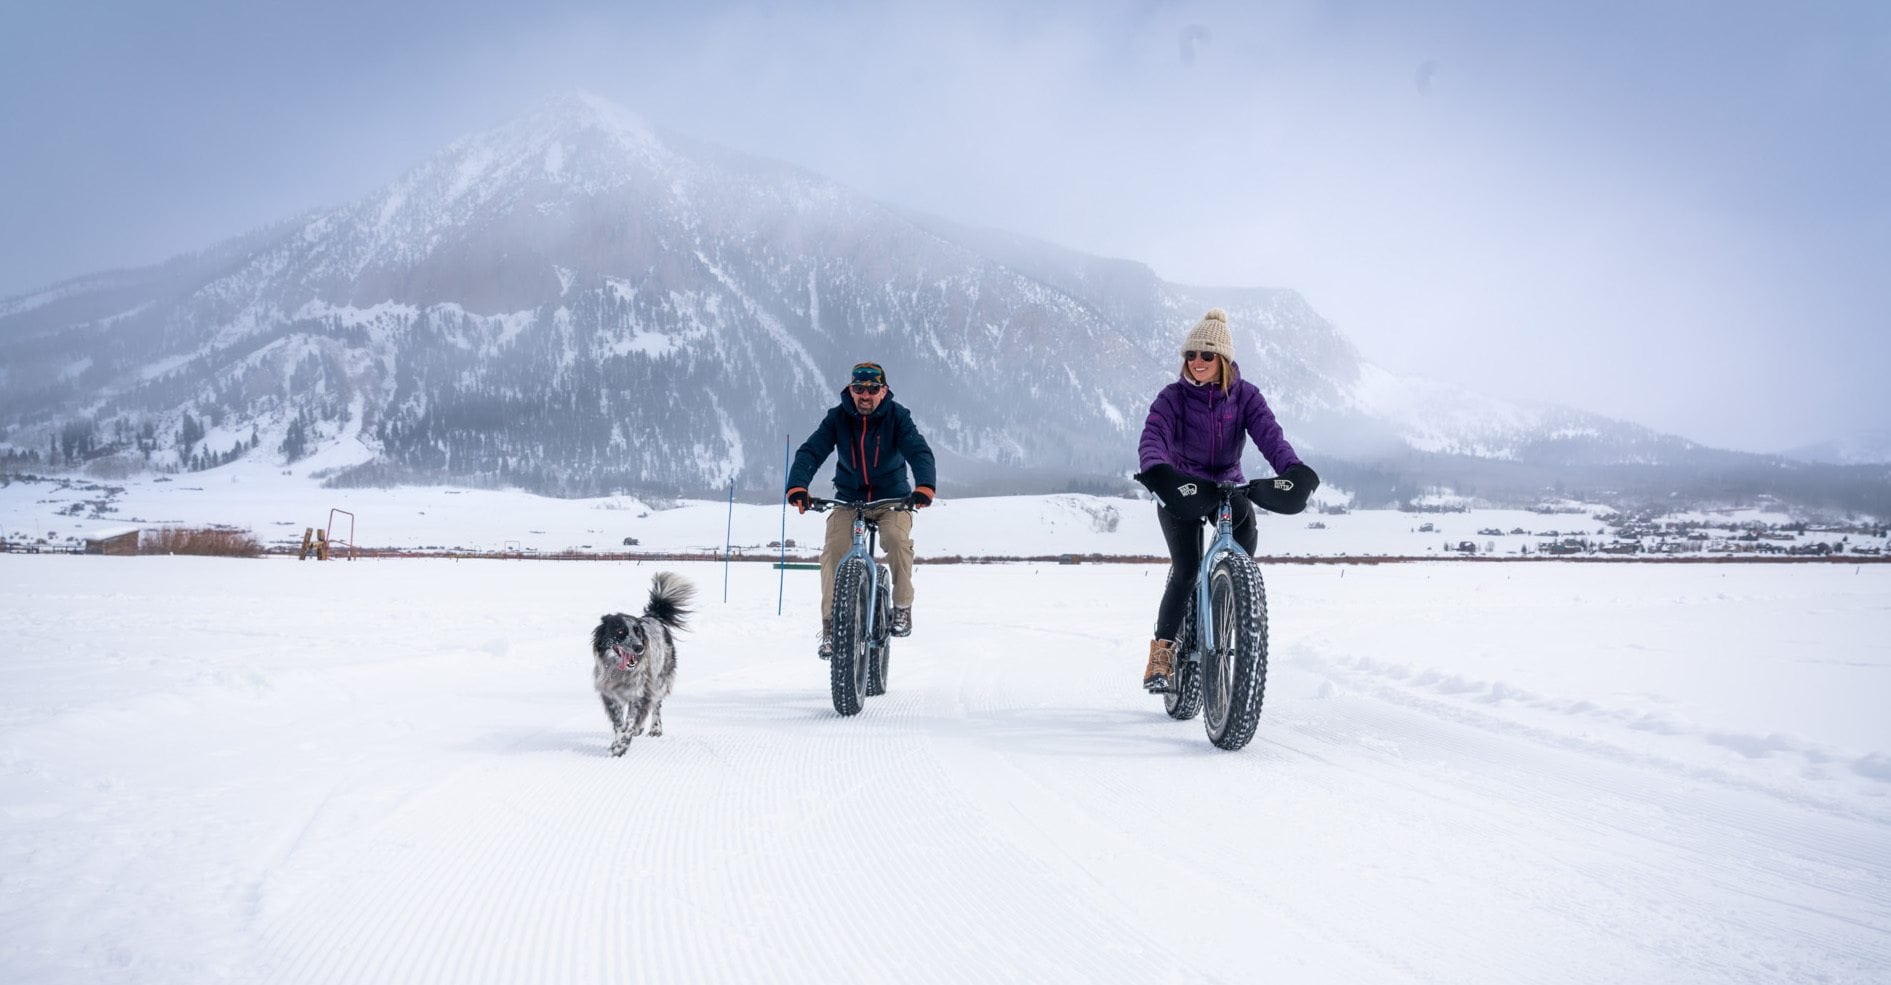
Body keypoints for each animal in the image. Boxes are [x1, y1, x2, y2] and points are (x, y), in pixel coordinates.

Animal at [589, 567, 695, 752]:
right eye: (620, 632)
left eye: (638, 632)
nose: (639, 647)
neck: (619, 671)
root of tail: (654, 617)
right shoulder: (610, 695)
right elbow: (619, 722)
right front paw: (617, 743)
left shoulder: (640, 692)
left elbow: (631, 721)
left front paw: (621, 745)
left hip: (660, 680)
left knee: (656, 706)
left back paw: (655, 729)